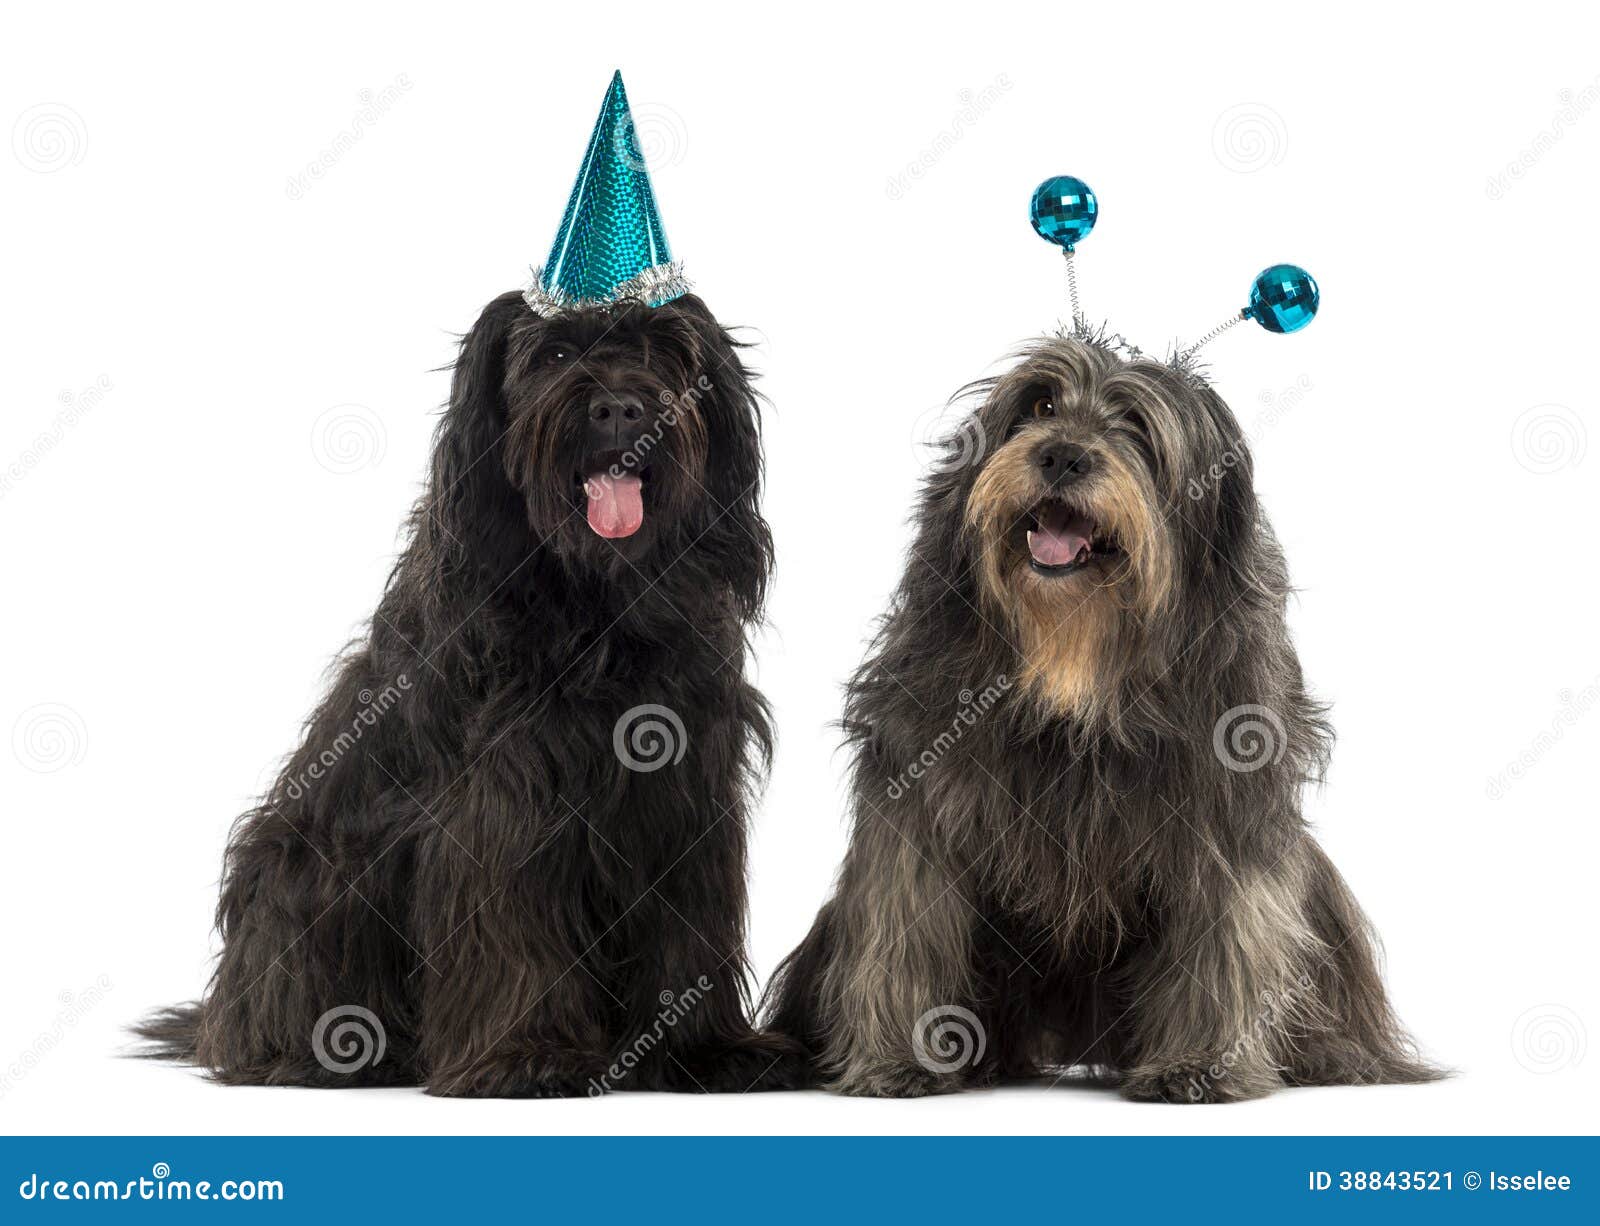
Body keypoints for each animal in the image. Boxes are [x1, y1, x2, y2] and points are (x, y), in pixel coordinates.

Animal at [134, 292, 796, 1101]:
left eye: (663, 348)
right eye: (552, 355)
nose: (620, 408)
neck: (601, 603)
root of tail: (219, 1017)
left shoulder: (687, 789)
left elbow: (687, 927)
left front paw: (705, 1051)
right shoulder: (502, 798)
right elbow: (508, 919)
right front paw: (526, 1056)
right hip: (308, 877)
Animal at [761, 332, 1440, 1101]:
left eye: (1138, 429)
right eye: (1040, 405)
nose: (1062, 456)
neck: (1077, 665)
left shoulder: (1221, 818)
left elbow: (1220, 937)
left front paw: (1198, 1065)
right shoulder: (918, 809)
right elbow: (909, 928)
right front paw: (903, 1060)